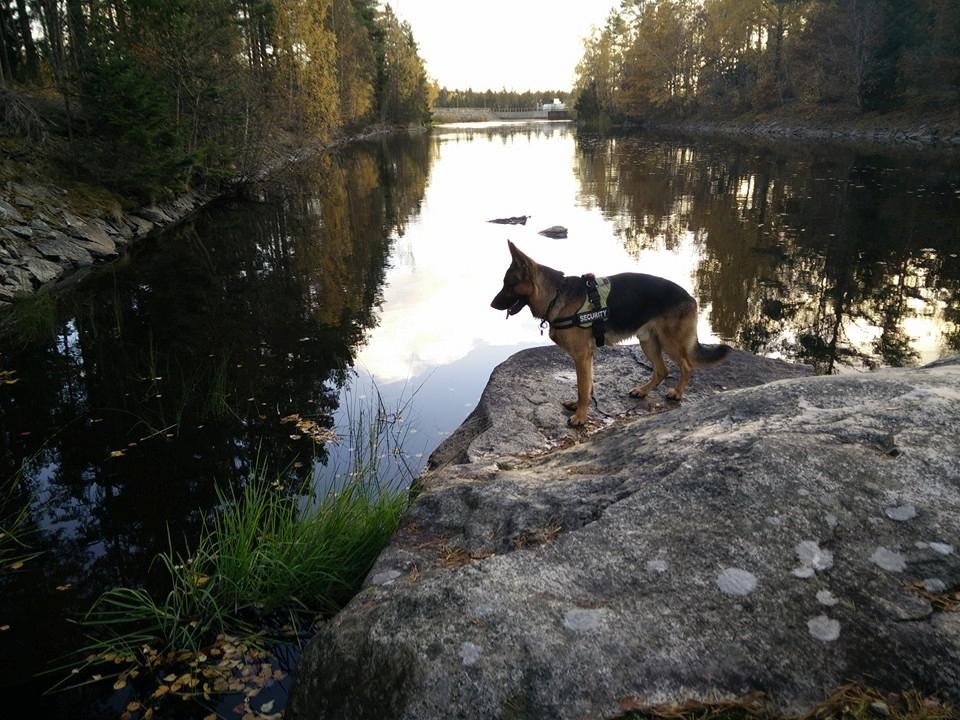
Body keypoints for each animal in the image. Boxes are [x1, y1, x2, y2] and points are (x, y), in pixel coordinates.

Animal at [492, 242, 732, 424]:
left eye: (507, 284)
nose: (492, 305)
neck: (556, 295)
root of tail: (690, 297)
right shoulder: (587, 356)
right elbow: (587, 385)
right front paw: (579, 407)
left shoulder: (581, 356)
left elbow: (582, 387)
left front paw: (580, 417)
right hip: (647, 341)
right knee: (662, 370)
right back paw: (642, 391)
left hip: (669, 341)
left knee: (687, 366)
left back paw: (677, 393)